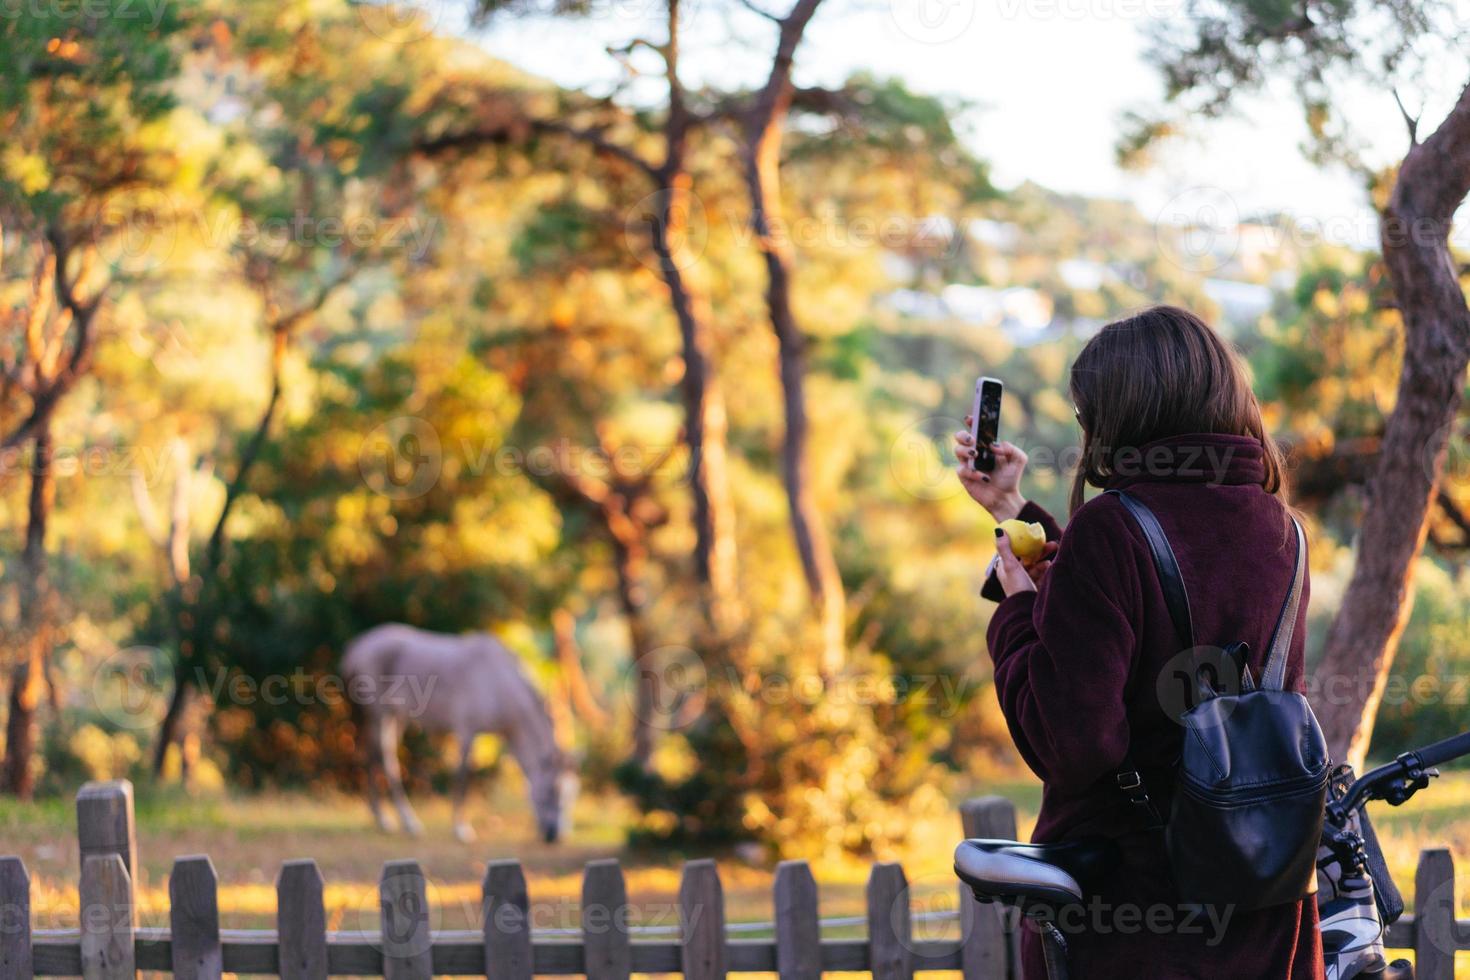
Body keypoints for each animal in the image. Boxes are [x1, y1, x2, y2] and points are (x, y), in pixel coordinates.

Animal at [341, 628, 576, 846]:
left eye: (569, 798)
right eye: (550, 791)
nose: (553, 835)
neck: (499, 681)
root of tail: (359, 646)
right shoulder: (466, 731)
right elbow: (462, 777)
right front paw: (461, 829)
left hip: (397, 715)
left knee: (374, 754)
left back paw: (381, 817)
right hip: (380, 712)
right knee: (384, 755)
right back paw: (403, 821)